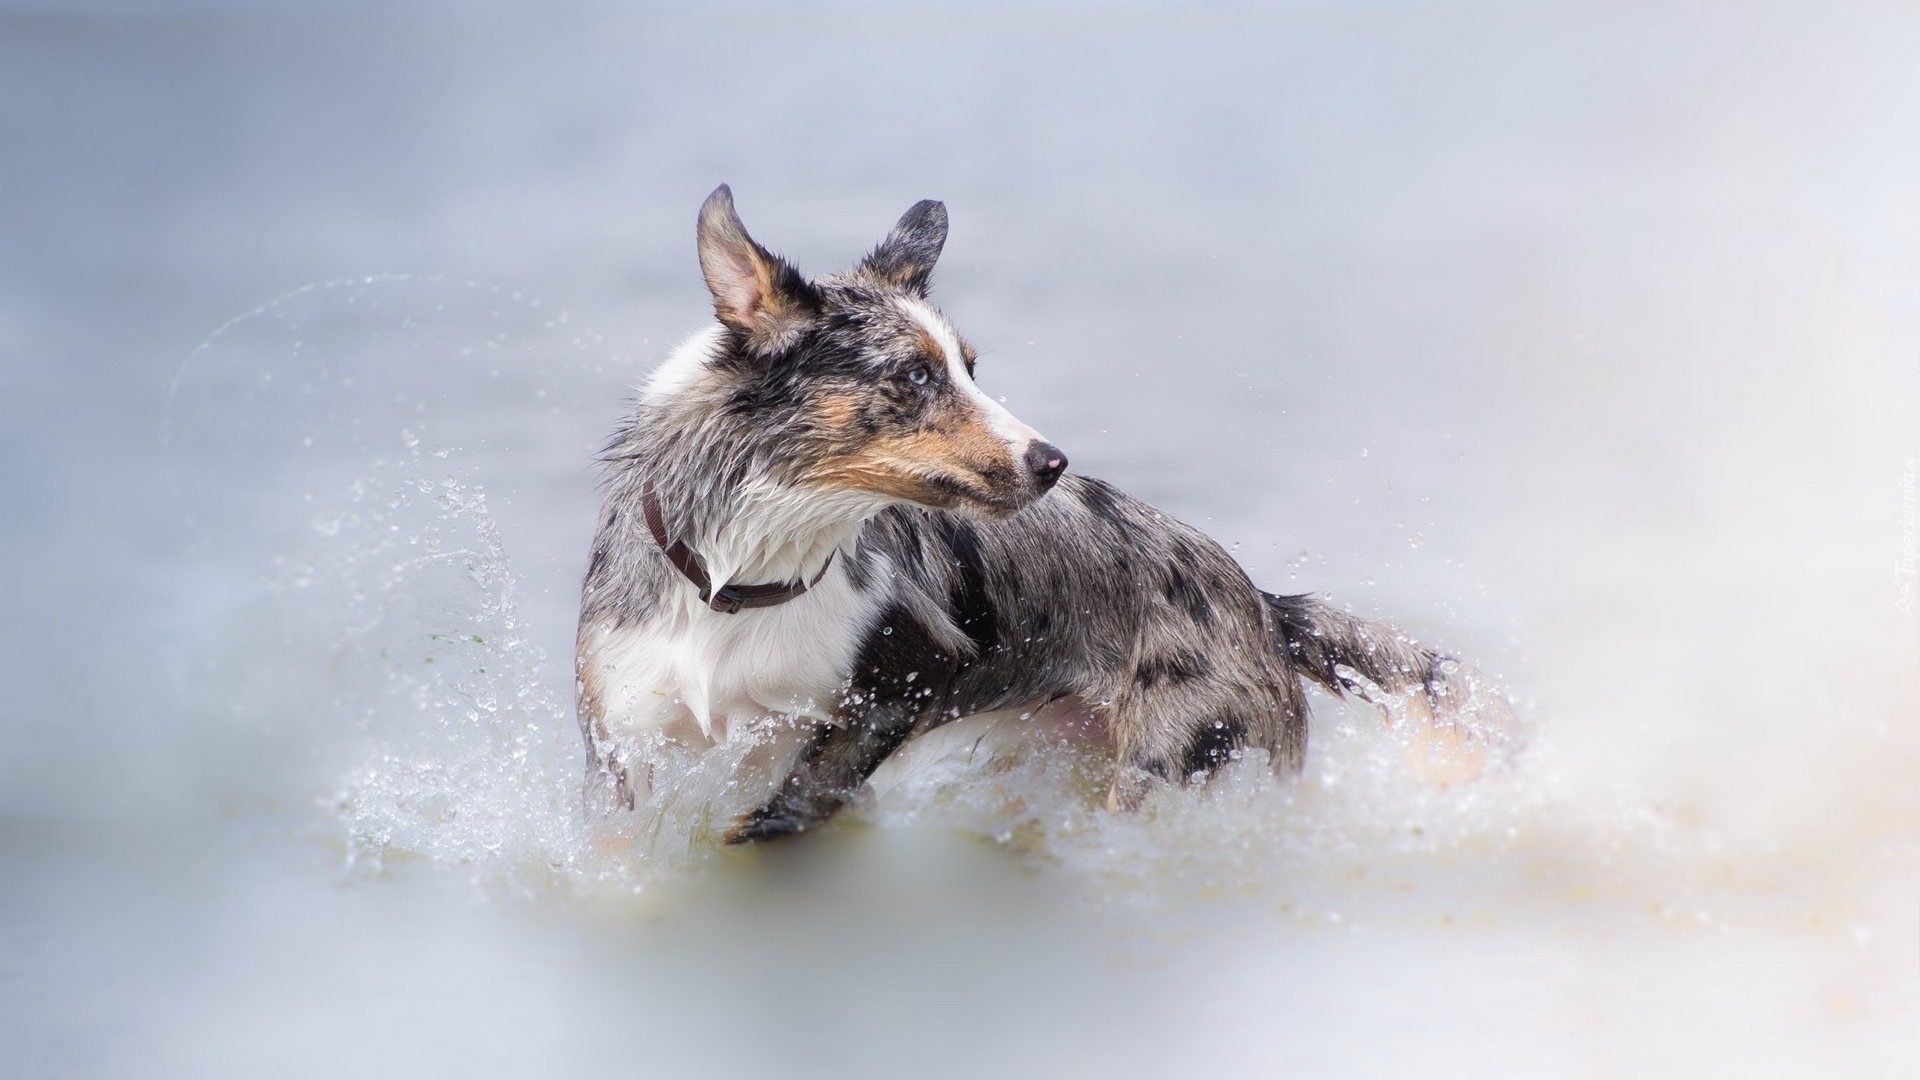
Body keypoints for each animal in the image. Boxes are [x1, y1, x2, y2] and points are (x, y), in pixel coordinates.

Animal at [572, 182, 1512, 841]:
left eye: (970, 366)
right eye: (915, 374)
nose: (1054, 463)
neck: (739, 581)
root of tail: (1261, 605)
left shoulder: (905, 680)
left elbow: (795, 801)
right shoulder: (619, 749)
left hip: (1176, 771)